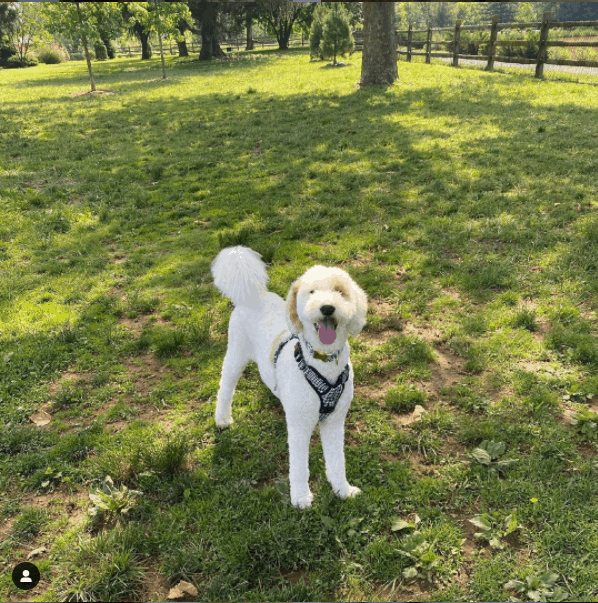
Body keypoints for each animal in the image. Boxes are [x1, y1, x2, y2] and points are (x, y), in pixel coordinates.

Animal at [211, 247, 370, 510]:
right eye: (311, 292)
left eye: (340, 291)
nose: (327, 308)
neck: (323, 362)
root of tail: (253, 297)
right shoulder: (299, 426)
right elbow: (298, 467)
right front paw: (301, 498)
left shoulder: (335, 422)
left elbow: (337, 462)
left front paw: (342, 490)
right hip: (235, 354)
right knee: (225, 387)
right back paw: (222, 419)